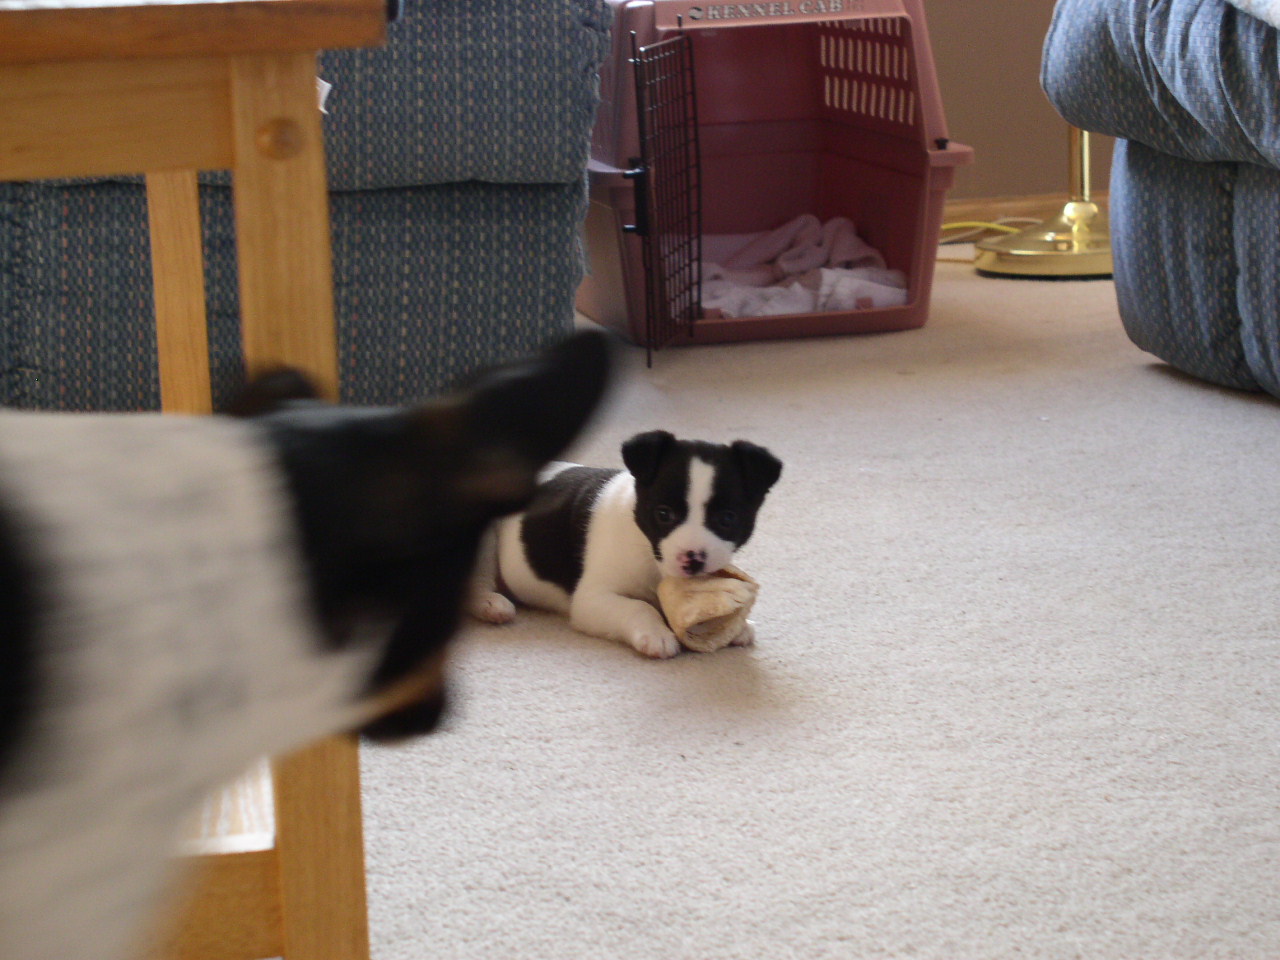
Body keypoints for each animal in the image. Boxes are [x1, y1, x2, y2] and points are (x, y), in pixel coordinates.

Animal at [471, 430, 778, 660]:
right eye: (663, 514)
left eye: (727, 519)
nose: (693, 559)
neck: (647, 552)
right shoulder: (592, 599)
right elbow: (639, 607)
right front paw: (656, 633)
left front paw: (736, 626)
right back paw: (489, 603)